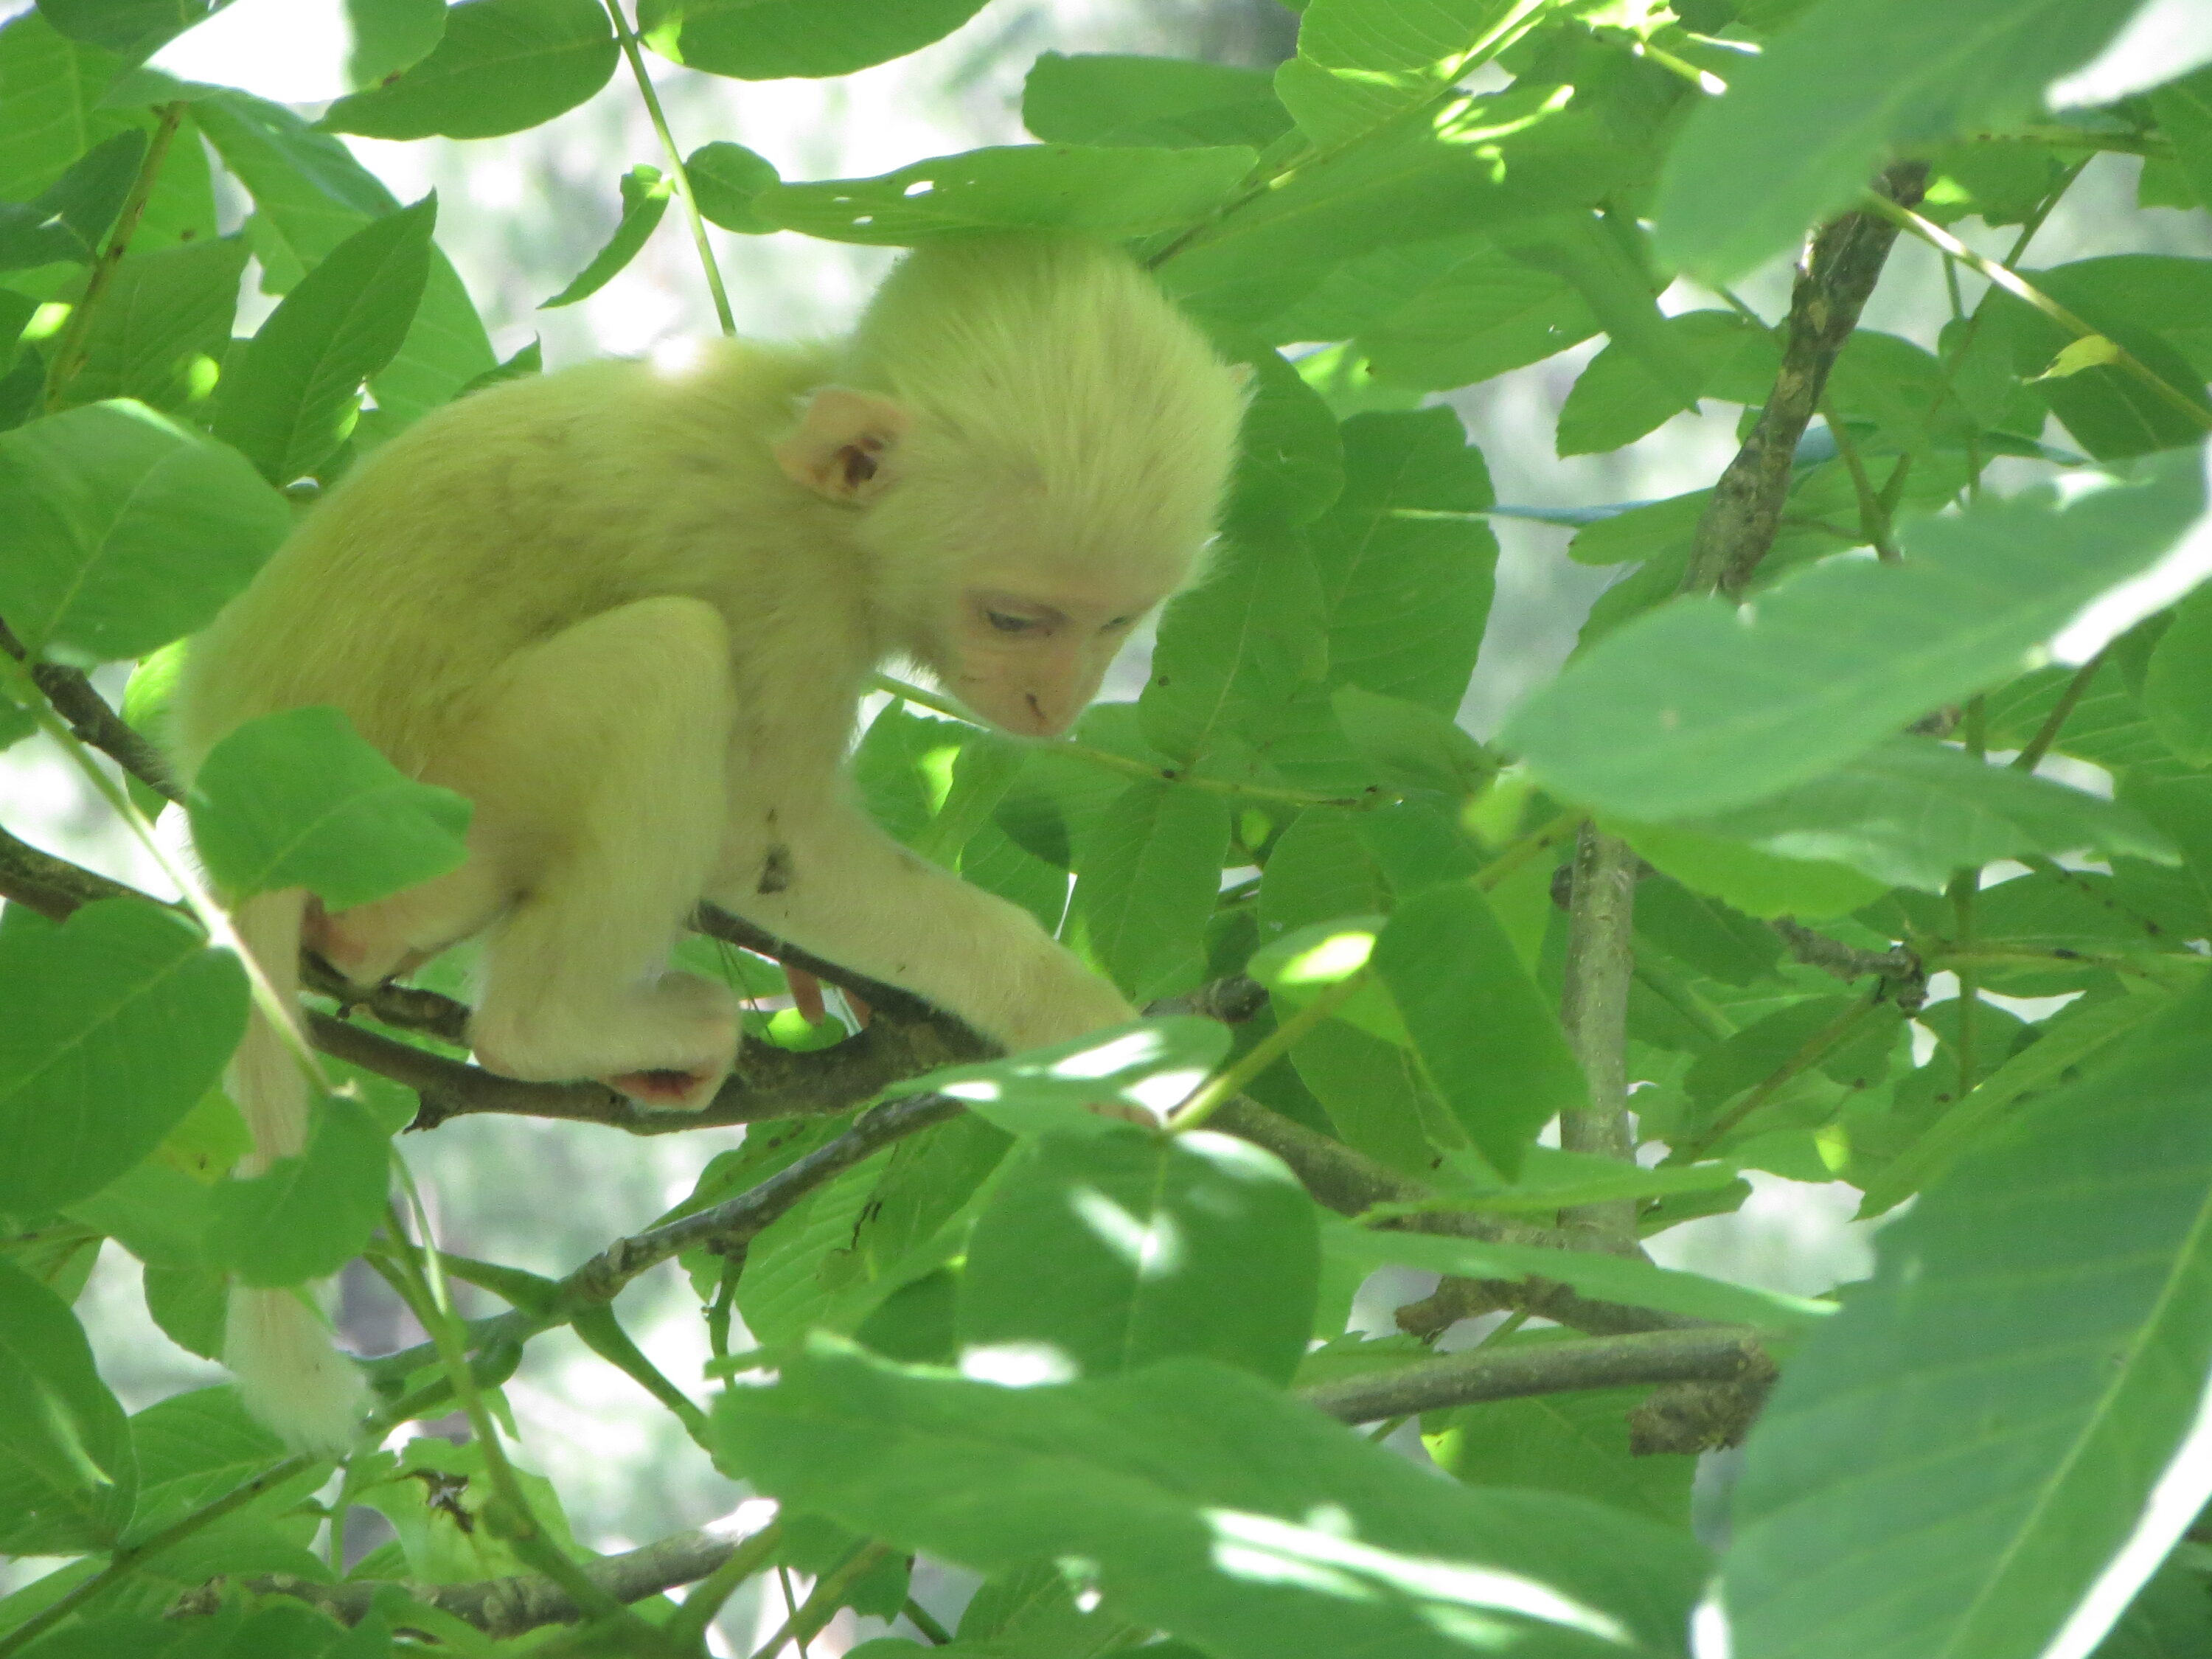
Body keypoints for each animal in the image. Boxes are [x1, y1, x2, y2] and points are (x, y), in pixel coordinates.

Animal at [168, 233, 1248, 1453]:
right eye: (1016, 618)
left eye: (1115, 622)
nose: (1050, 703)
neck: (816, 488)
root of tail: (230, 816)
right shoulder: (783, 587)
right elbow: (762, 840)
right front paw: (1080, 1024)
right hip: (421, 802)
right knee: (671, 661)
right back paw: (551, 1025)